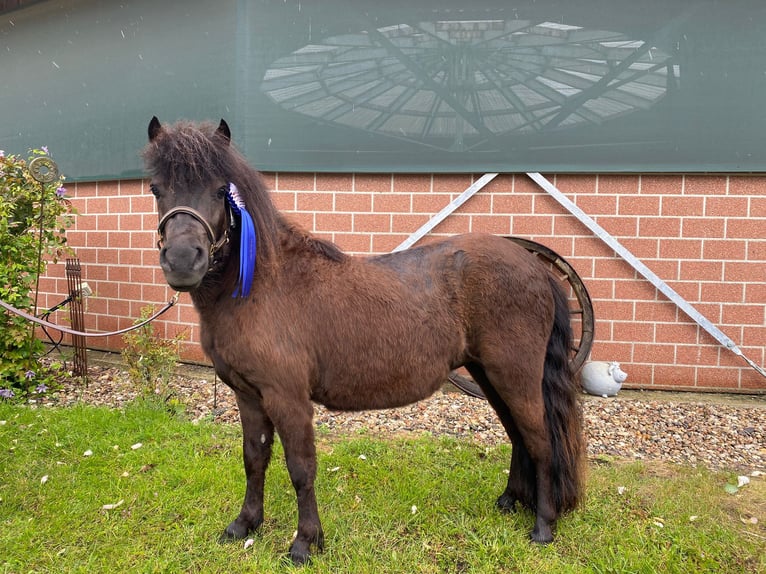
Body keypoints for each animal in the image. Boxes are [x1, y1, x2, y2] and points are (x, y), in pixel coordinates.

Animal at [144, 118, 584, 568]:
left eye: (220, 190)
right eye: (156, 188)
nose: (182, 261)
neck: (261, 284)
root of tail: (534, 266)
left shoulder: (288, 398)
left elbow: (300, 468)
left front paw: (305, 543)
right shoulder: (248, 396)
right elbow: (254, 459)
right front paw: (244, 524)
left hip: (514, 374)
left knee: (540, 441)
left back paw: (543, 527)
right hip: (488, 374)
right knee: (518, 435)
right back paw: (510, 500)